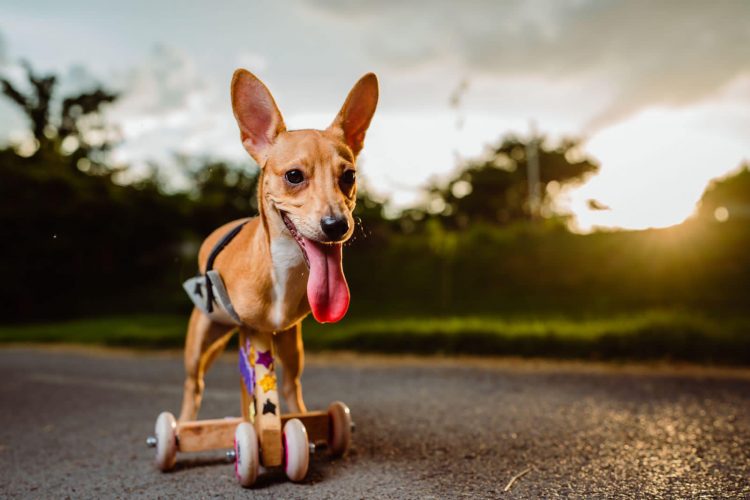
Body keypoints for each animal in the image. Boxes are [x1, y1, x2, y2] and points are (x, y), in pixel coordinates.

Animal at [178, 69, 378, 422]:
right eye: (294, 176)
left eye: (349, 176)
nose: (337, 225)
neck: (282, 268)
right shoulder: (251, 332)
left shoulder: (284, 334)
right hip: (202, 338)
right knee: (194, 385)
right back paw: (183, 425)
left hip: (290, 345)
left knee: (290, 386)